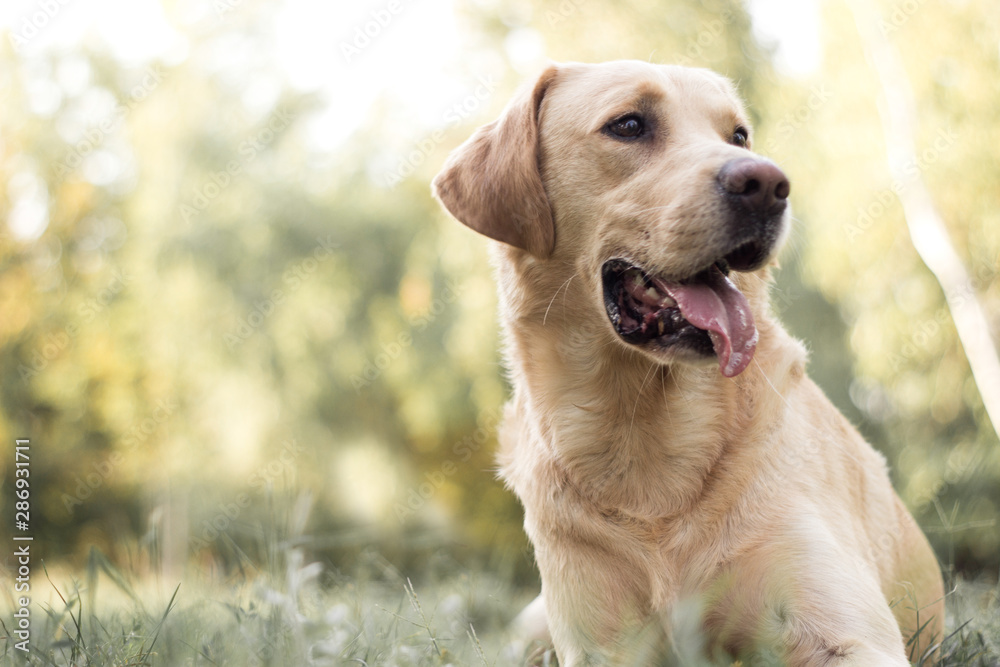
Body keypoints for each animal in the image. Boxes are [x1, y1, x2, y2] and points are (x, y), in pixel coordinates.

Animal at [432, 60, 944, 664]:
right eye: (629, 124)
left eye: (739, 136)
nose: (768, 185)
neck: (644, 434)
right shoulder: (598, 644)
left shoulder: (849, 633)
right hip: (530, 625)